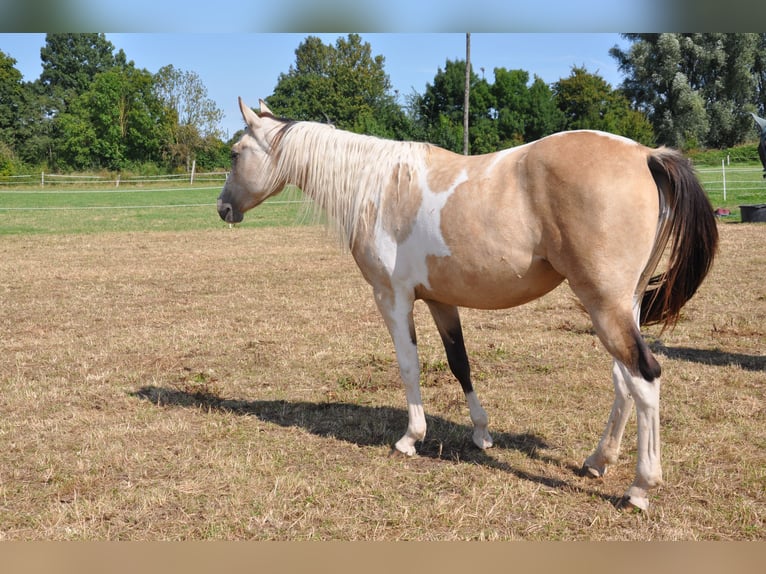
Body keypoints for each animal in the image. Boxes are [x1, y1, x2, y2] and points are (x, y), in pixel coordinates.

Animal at [217, 98, 718, 511]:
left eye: (236, 153)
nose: (223, 208)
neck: (378, 186)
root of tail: (645, 154)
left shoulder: (392, 298)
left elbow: (409, 366)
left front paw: (411, 438)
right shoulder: (440, 301)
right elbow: (460, 364)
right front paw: (481, 433)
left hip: (604, 304)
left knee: (645, 378)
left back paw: (639, 488)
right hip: (622, 305)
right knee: (623, 381)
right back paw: (598, 460)